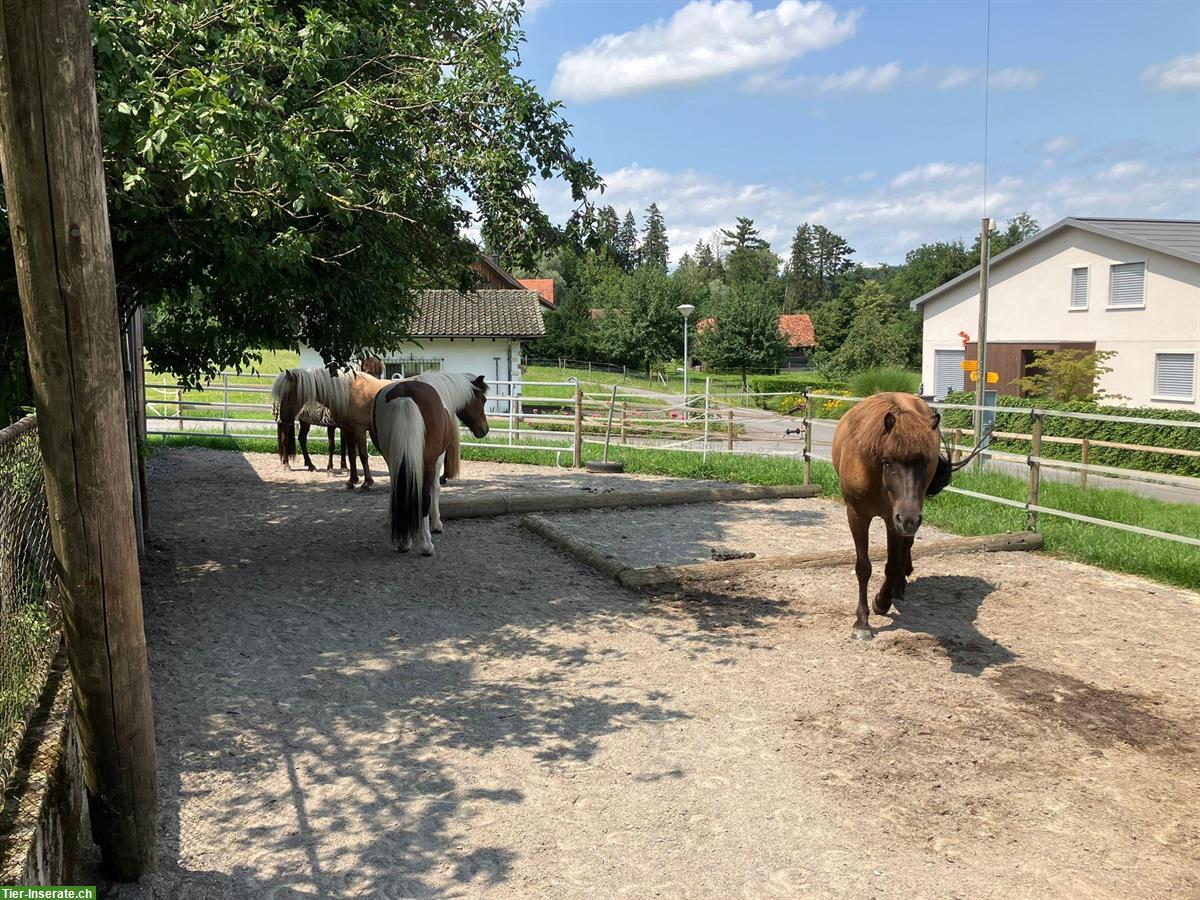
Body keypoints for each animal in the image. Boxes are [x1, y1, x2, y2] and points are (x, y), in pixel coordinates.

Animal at [372, 376, 489, 554]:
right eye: (483, 400)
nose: (484, 429)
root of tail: (406, 397)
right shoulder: (439, 457)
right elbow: (435, 488)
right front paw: (437, 525)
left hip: (392, 458)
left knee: (399, 489)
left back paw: (403, 540)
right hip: (427, 462)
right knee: (424, 496)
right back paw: (427, 544)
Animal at [835, 393, 945, 643]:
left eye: (926, 463)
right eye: (887, 461)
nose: (910, 519)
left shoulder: (893, 520)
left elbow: (892, 563)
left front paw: (881, 601)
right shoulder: (857, 515)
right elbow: (864, 567)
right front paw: (862, 623)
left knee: (905, 549)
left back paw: (898, 588)